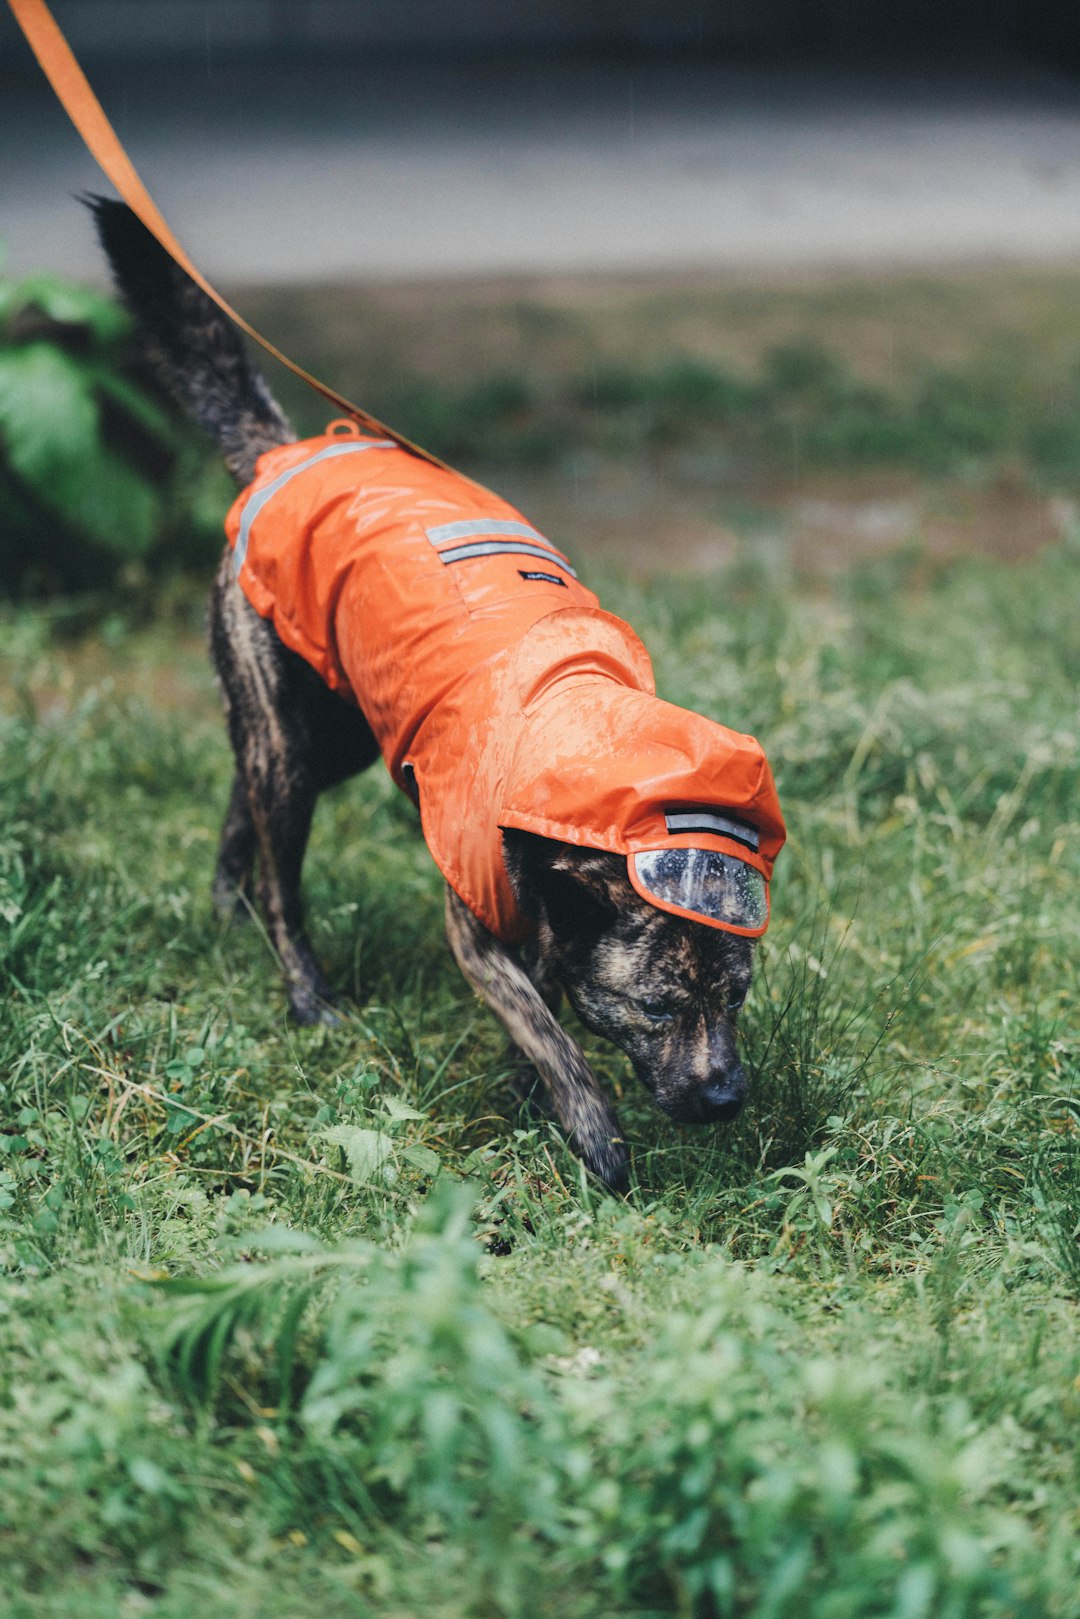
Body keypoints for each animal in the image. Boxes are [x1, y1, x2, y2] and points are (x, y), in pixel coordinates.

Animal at [95, 199, 786, 1191]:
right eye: (657, 1008)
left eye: (735, 998)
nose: (726, 1099)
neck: (593, 758)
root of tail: (284, 452)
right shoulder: (477, 927)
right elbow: (544, 1027)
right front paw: (593, 1132)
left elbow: (544, 1001)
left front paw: (539, 1099)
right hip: (294, 745)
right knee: (280, 873)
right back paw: (302, 987)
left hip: (342, 731)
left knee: (243, 798)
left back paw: (228, 908)